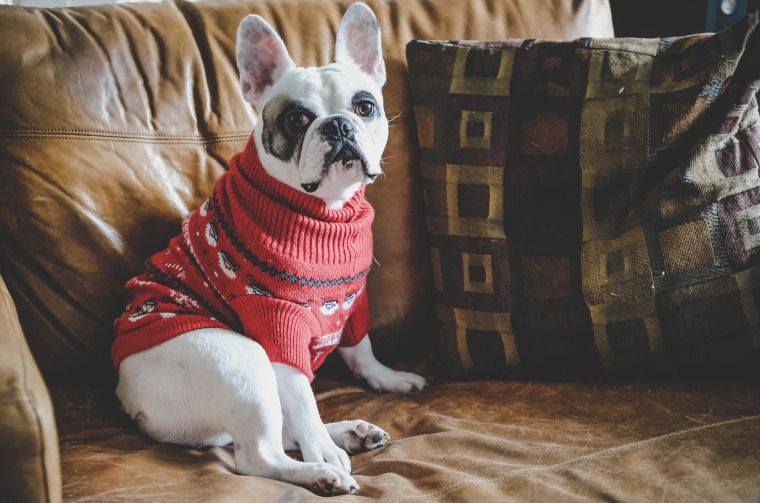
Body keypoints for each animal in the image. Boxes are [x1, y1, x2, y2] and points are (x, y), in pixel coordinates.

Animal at [110, 3, 424, 498]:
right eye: (297, 119)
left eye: (365, 106)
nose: (338, 124)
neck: (324, 211)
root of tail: (128, 397)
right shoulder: (277, 324)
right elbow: (303, 397)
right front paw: (323, 452)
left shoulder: (352, 301)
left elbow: (360, 348)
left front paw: (387, 379)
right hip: (244, 362)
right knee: (259, 454)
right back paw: (321, 468)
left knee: (279, 430)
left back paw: (350, 434)